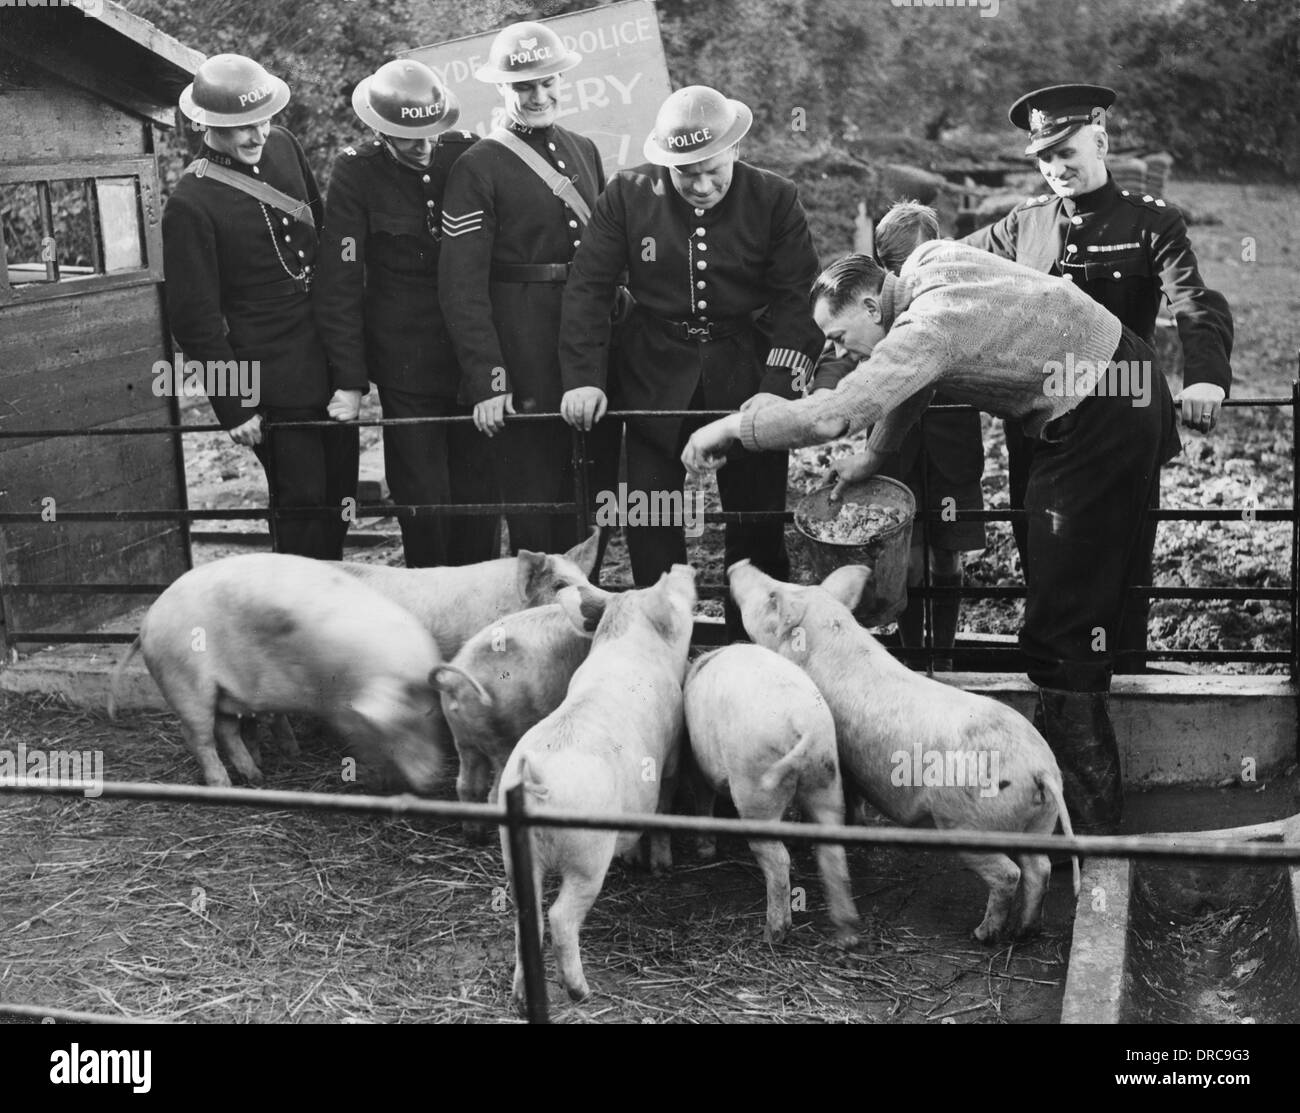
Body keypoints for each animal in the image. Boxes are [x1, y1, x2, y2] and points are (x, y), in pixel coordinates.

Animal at [107, 548, 441, 790]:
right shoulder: (343, 709)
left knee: (226, 730)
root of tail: (147, 624)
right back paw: (223, 786)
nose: (433, 780)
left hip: (223, 690)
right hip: (185, 684)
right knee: (197, 736)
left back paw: (257, 776)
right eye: (403, 724)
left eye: (431, 716)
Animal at [431, 603, 595, 837]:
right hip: (502, 740)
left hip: (464, 739)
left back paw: (475, 834)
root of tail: (454, 684)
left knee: (466, 785)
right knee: (495, 794)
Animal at [499, 564, 702, 1008]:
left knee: (528, 918)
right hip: (587, 855)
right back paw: (580, 992)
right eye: (679, 604)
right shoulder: (672, 753)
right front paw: (661, 866)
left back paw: (521, 997)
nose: (683, 568)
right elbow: (664, 801)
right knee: (559, 917)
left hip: (512, 851)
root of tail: (537, 780)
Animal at [681, 642, 863, 946]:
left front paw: (705, 851)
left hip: (755, 789)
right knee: (833, 852)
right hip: (826, 778)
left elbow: (703, 799)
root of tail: (806, 728)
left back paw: (772, 934)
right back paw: (847, 936)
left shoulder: (697, 764)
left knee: (778, 859)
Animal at [728, 561, 1081, 941]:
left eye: (772, 596)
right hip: (1040, 821)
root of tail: (1039, 769)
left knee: (1009, 873)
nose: (740, 565)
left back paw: (982, 934)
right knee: (1040, 868)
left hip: (965, 824)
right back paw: (1024, 931)